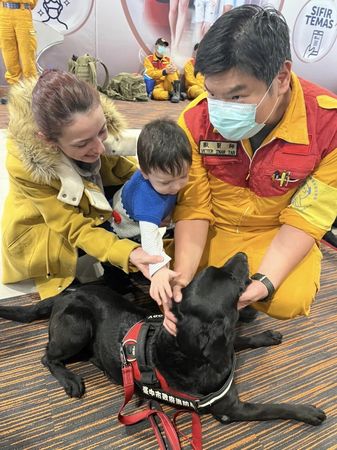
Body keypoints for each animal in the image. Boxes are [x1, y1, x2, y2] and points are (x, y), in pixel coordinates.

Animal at [0, 253, 326, 426]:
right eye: (232, 281)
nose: (243, 256)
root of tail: (66, 293)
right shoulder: (231, 409)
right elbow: (275, 407)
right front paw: (308, 412)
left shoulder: (226, 346)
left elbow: (240, 341)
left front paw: (266, 335)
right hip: (77, 327)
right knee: (47, 356)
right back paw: (69, 379)